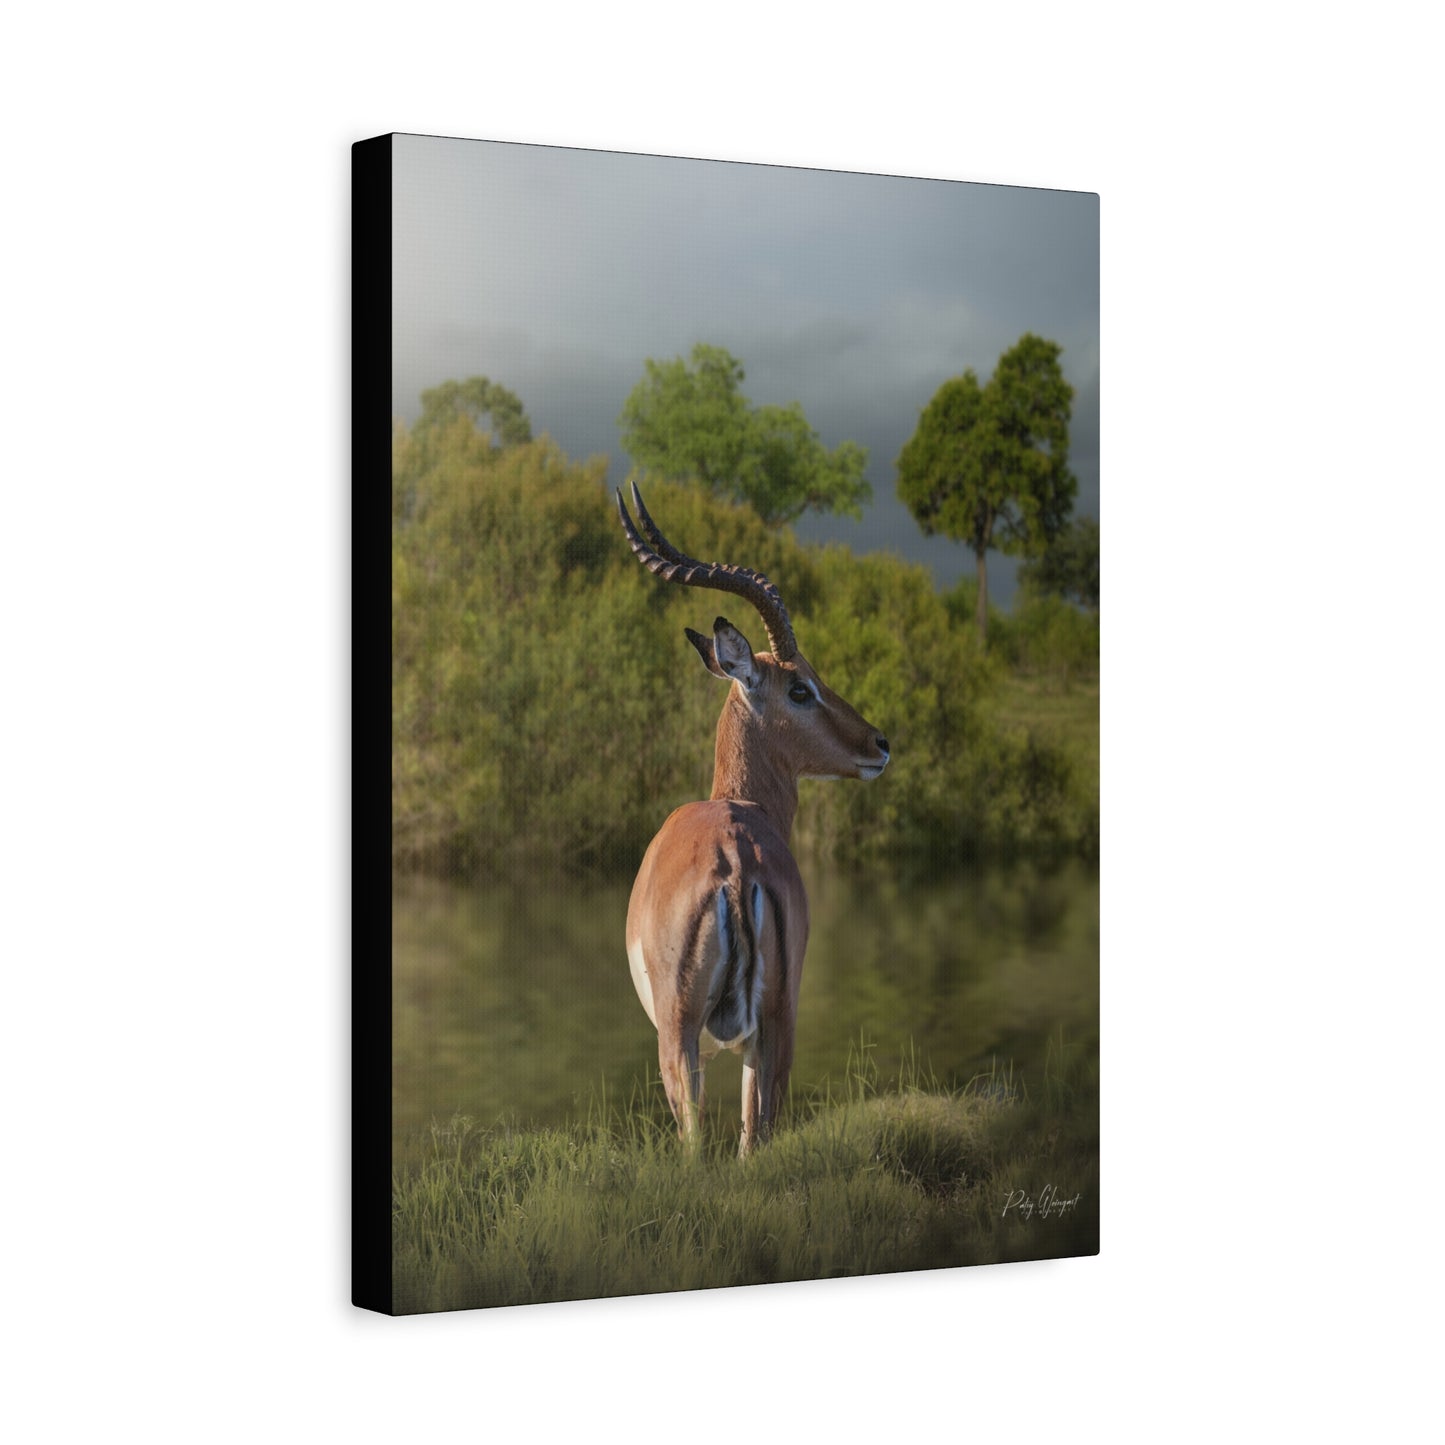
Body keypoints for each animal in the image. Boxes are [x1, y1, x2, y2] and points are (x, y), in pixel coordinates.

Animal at [617, 482, 890, 1156]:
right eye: (801, 688)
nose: (878, 743)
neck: (741, 806)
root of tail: (734, 863)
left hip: (684, 1036)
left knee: (699, 1145)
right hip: (774, 1025)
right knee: (753, 1139)